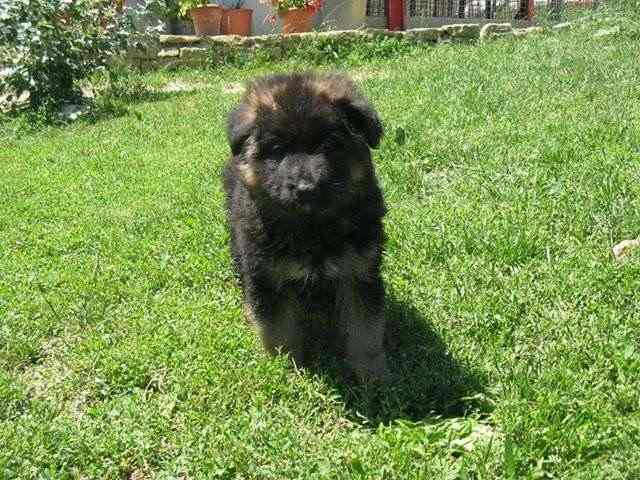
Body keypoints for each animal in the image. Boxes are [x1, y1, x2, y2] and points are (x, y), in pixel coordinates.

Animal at [221, 73, 390, 382]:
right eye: (278, 150)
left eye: (328, 144)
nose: (306, 188)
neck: (312, 228)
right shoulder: (267, 274)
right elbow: (278, 330)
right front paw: (287, 369)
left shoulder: (359, 272)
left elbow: (365, 330)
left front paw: (373, 375)